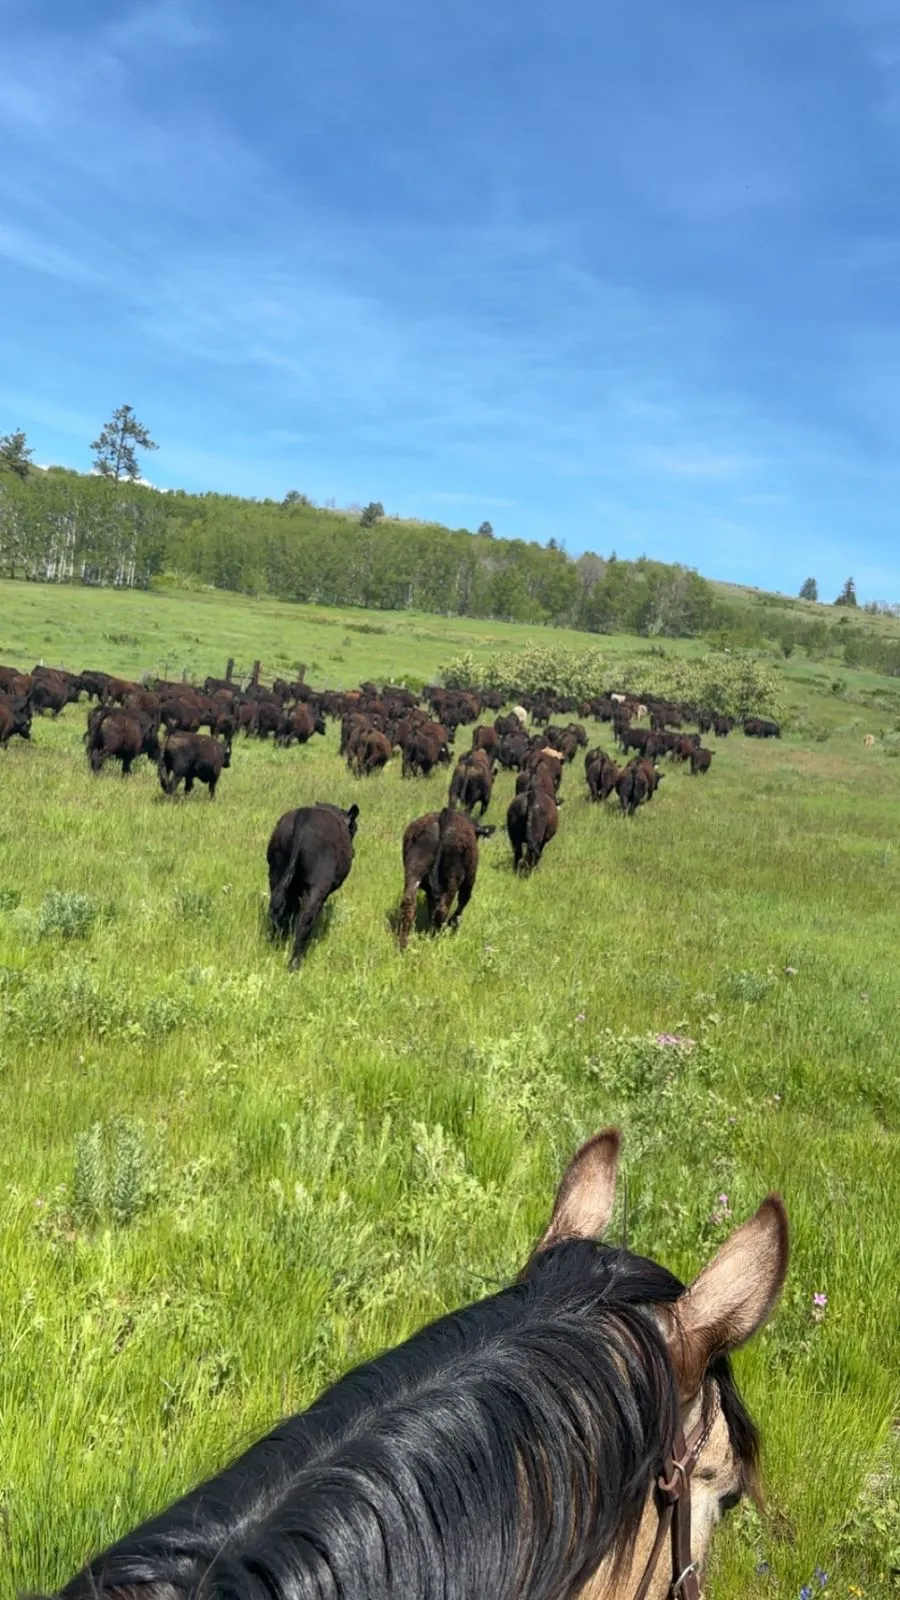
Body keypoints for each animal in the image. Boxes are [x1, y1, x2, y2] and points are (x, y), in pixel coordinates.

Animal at [267, 802, 359, 971]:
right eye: (354, 828)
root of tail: (304, 817)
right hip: (316, 888)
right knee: (305, 920)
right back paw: (295, 963)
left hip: (276, 875)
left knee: (278, 910)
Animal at [397, 808, 494, 950]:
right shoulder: (469, 880)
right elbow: (463, 901)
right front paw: (453, 923)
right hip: (454, 877)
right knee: (443, 909)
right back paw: (435, 937)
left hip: (414, 870)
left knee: (408, 903)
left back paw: (403, 945)